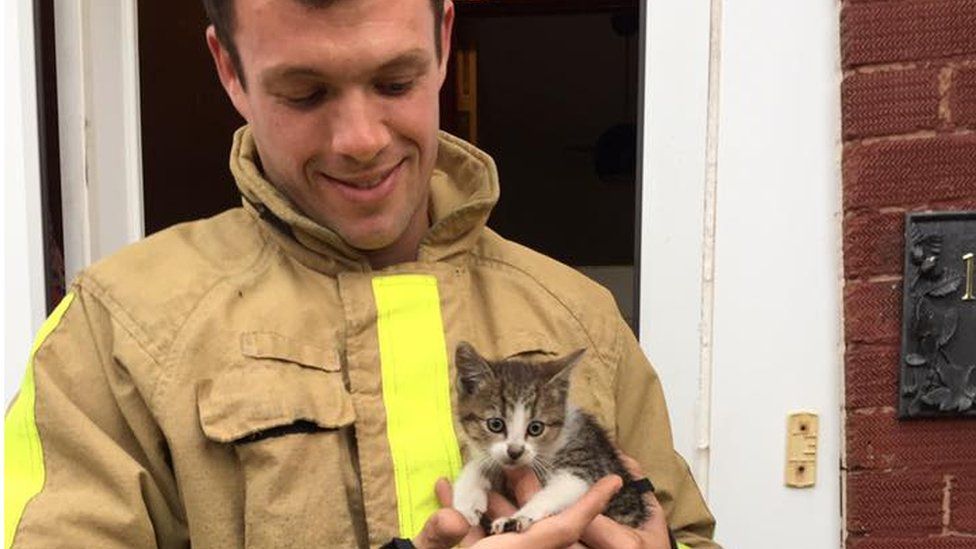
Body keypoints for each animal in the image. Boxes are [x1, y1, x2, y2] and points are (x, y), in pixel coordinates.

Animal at [450, 340, 648, 532]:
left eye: (536, 428)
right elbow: (481, 462)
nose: (515, 451)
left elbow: (560, 490)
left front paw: (516, 518)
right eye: (495, 424)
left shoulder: (585, 461)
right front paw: (467, 497)